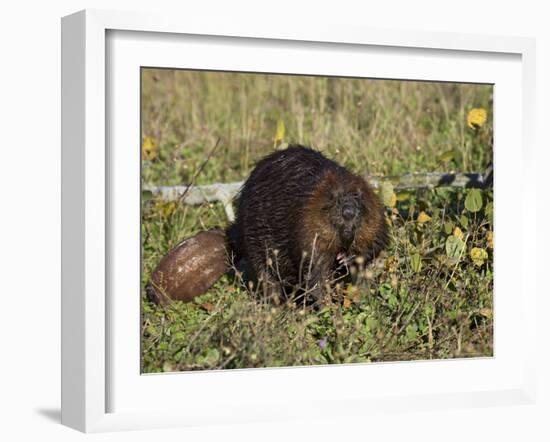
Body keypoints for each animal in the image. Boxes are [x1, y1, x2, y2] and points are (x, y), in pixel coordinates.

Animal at [226, 145, 390, 304]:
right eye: (334, 197)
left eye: (358, 196)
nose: (348, 212)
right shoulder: (306, 224)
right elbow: (314, 267)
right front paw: (326, 304)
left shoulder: (376, 217)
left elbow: (376, 243)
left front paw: (347, 258)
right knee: (267, 276)